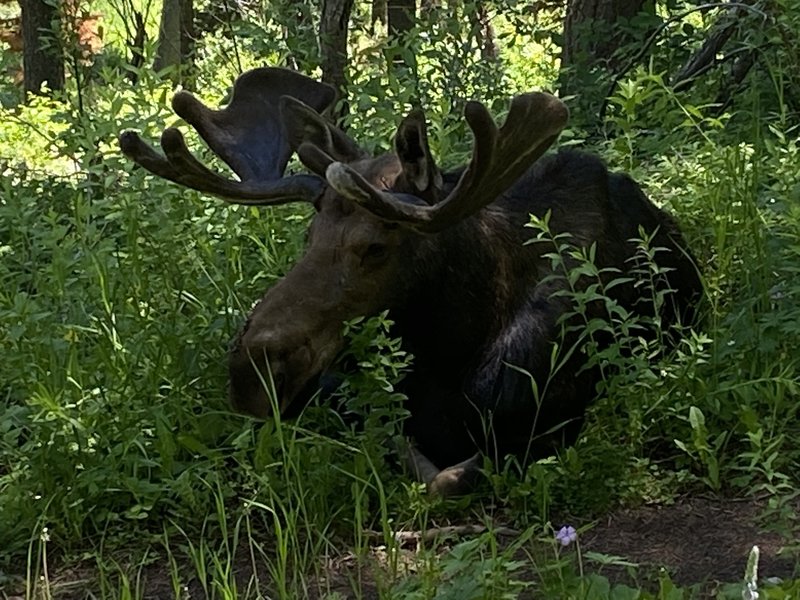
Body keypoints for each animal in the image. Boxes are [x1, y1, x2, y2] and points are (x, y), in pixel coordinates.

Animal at [119, 67, 700, 496]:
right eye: (309, 234)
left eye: (377, 246)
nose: (250, 370)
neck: (452, 346)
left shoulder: (554, 414)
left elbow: (444, 479)